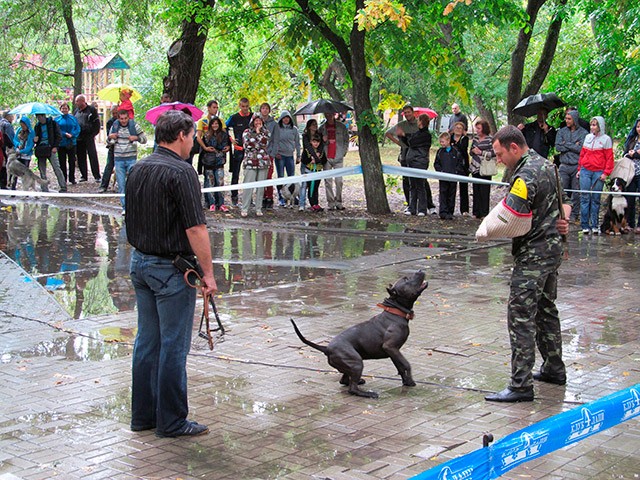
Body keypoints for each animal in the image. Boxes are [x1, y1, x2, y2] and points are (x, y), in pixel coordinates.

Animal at [292, 270, 428, 398]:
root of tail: (326, 348)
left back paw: (359, 382)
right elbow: (406, 364)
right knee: (352, 389)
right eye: (406, 279)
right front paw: (410, 380)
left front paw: (407, 382)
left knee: (344, 380)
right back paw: (368, 394)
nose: (420, 270)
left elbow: (400, 367)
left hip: (351, 364)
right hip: (357, 363)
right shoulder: (391, 347)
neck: (396, 312)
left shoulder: (393, 352)